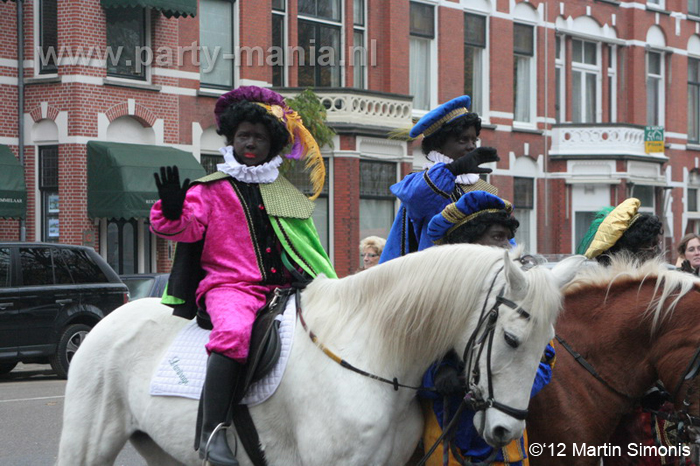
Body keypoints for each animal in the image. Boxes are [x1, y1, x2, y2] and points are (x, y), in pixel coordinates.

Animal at [56, 246, 580, 464]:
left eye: (547, 350)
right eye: (511, 339)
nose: (505, 431)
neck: (374, 352)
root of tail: (111, 318)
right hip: (86, 446)